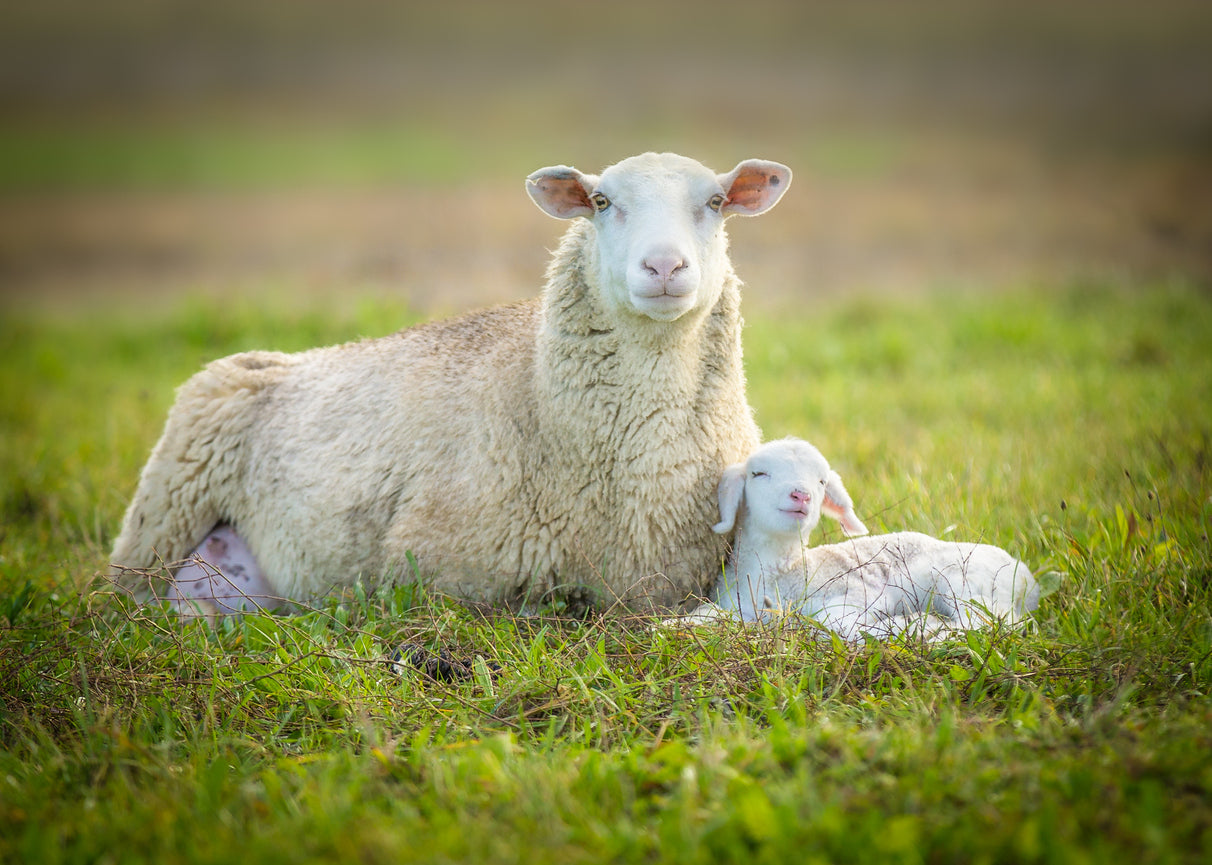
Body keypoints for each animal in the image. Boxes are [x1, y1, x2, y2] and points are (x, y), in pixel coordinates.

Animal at [699, 438, 1040, 640]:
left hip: (963, 582)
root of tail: (1027, 579)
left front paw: (889, 625)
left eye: (821, 481)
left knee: (992, 623)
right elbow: (706, 616)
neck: (784, 572)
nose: (801, 495)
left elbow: (836, 621)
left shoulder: (853, 595)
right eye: (758, 474)